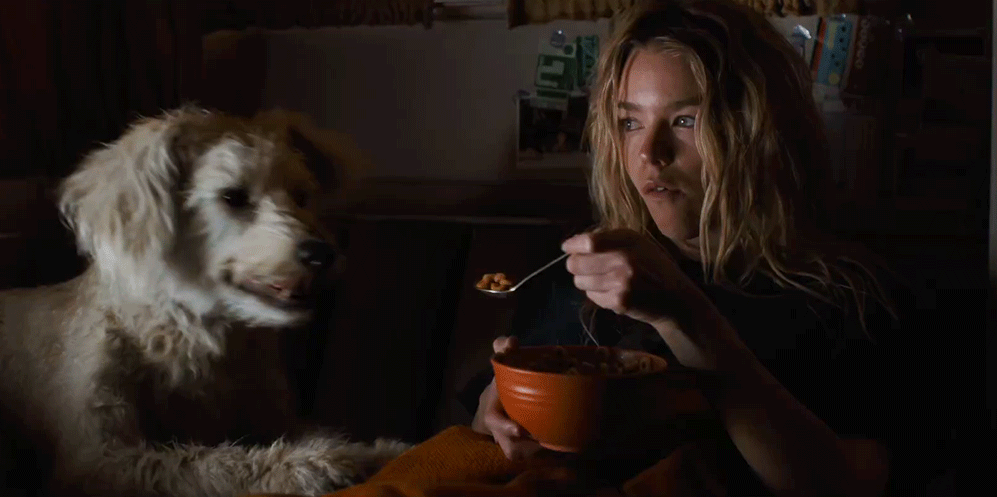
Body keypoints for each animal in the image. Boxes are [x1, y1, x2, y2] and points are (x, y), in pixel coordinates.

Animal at [0, 107, 409, 497]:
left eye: (301, 196)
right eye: (232, 197)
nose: (323, 254)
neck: (186, 332)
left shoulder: (275, 416)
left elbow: (315, 432)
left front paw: (375, 450)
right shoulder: (99, 462)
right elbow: (207, 465)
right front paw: (316, 465)